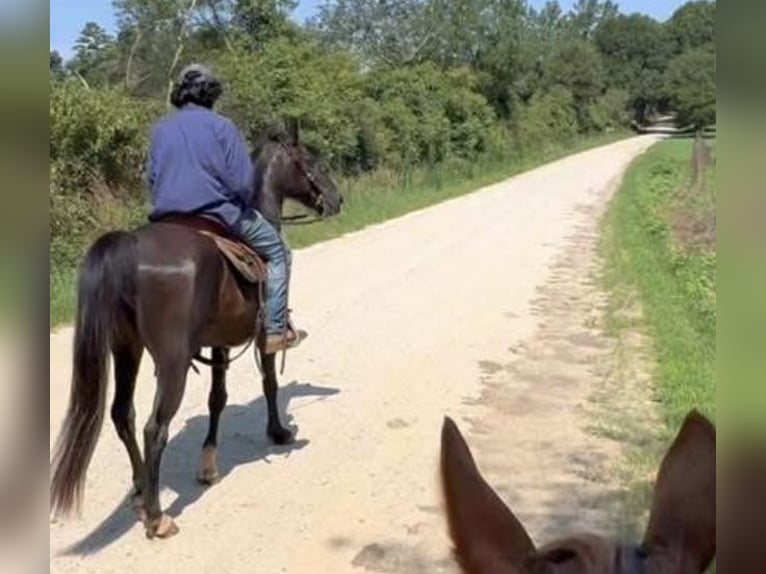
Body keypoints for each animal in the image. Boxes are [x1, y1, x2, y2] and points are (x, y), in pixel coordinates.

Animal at [50, 124, 343, 539]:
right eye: (312, 162)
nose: (336, 199)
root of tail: (130, 246)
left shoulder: (217, 343)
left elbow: (216, 398)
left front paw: (208, 464)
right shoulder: (259, 337)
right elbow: (269, 381)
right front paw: (278, 431)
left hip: (126, 348)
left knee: (123, 414)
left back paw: (141, 490)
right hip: (171, 361)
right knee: (154, 428)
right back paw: (157, 517)